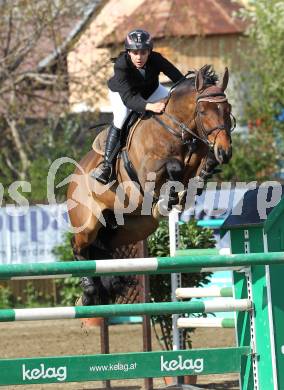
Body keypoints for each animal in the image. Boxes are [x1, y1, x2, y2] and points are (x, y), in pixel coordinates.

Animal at [67, 65, 234, 306]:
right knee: (78, 246)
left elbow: (198, 169)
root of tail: (74, 177)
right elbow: (173, 166)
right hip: (87, 224)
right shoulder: (148, 171)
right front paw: (171, 196)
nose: (225, 152)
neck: (176, 129)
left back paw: (102, 288)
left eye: (227, 109)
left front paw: (201, 176)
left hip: (136, 227)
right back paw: (89, 290)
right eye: (203, 111)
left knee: (103, 247)